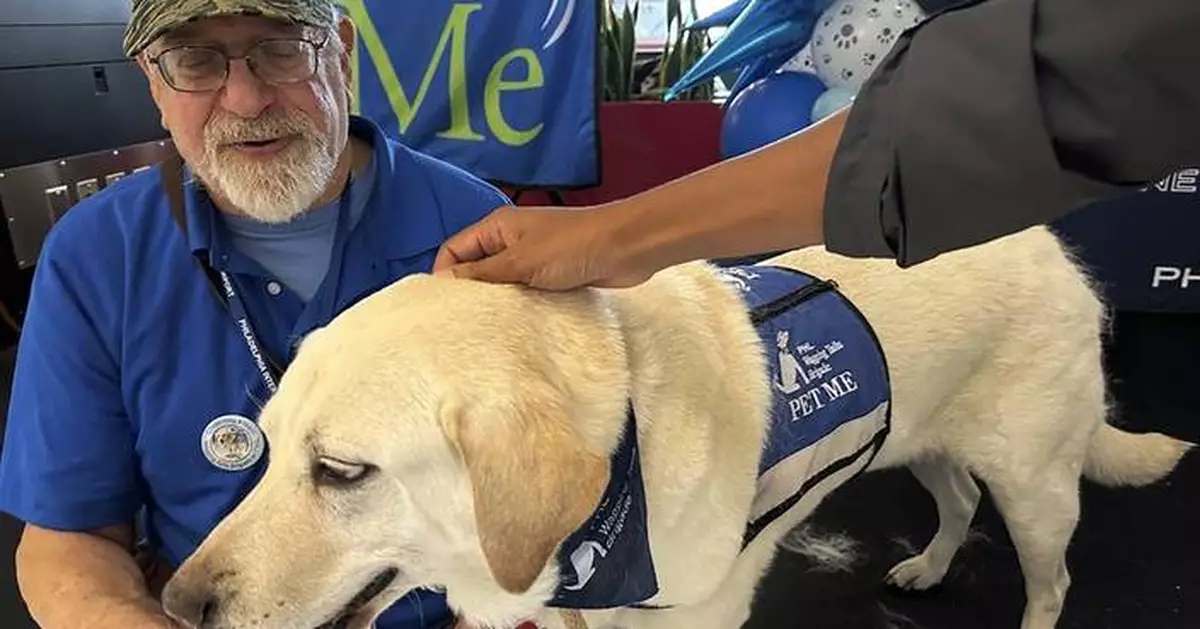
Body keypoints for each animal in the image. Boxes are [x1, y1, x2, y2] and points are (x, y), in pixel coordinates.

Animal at [162, 225, 1190, 629]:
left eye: (341, 470)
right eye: (266, 448)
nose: (176, 604)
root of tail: (1046, 240)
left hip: (1039, 486)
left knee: (1051, 576)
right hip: (920, 432)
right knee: (958, 496)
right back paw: (928, 566)